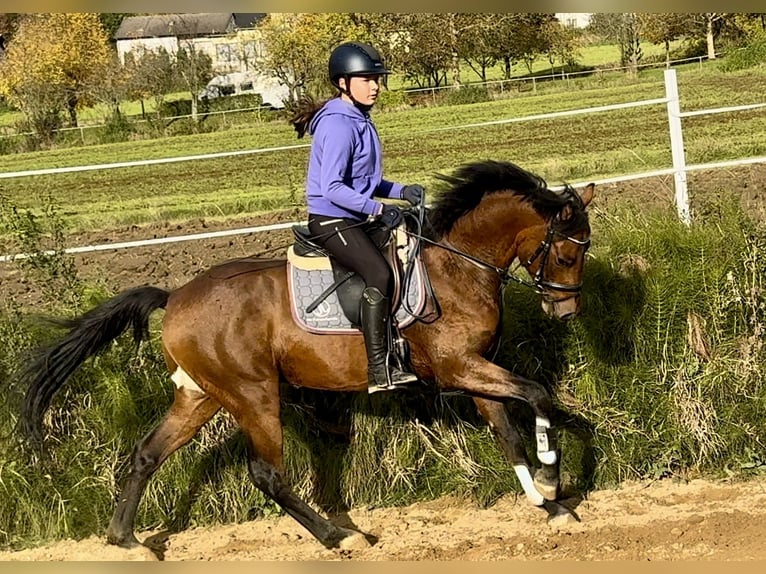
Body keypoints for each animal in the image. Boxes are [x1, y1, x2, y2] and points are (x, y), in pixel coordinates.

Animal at [16, 159, 592, 552]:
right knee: (267, 474)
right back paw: (340, 537)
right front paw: (550, 477)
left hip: (201, 397)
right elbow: (537, 395)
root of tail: (174, 296)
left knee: (146, 455)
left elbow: (510, 433)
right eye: (567, 252)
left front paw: (549, 506)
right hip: (253, 394)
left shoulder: (476, 372)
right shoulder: (461, 369)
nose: (565, 312)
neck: (456, 267)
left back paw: (127, 542)